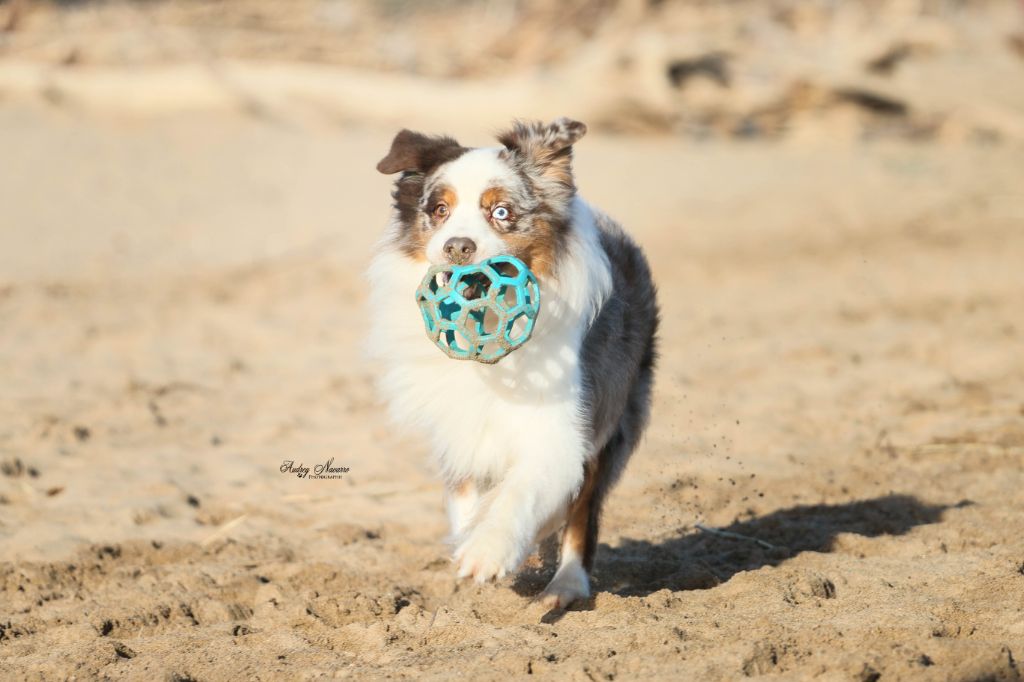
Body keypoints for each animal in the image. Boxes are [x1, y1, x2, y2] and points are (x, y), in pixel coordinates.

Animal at [364, 116, 659, 606]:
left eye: (500, 212)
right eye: (439, 210)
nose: (457, 246)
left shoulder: (563, 428)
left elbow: (524, 492)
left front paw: (487, 551)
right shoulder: (459, 427)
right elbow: (465, 498)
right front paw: (473, 541)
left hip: (614, 411)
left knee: (582, 514)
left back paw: (565, 586)